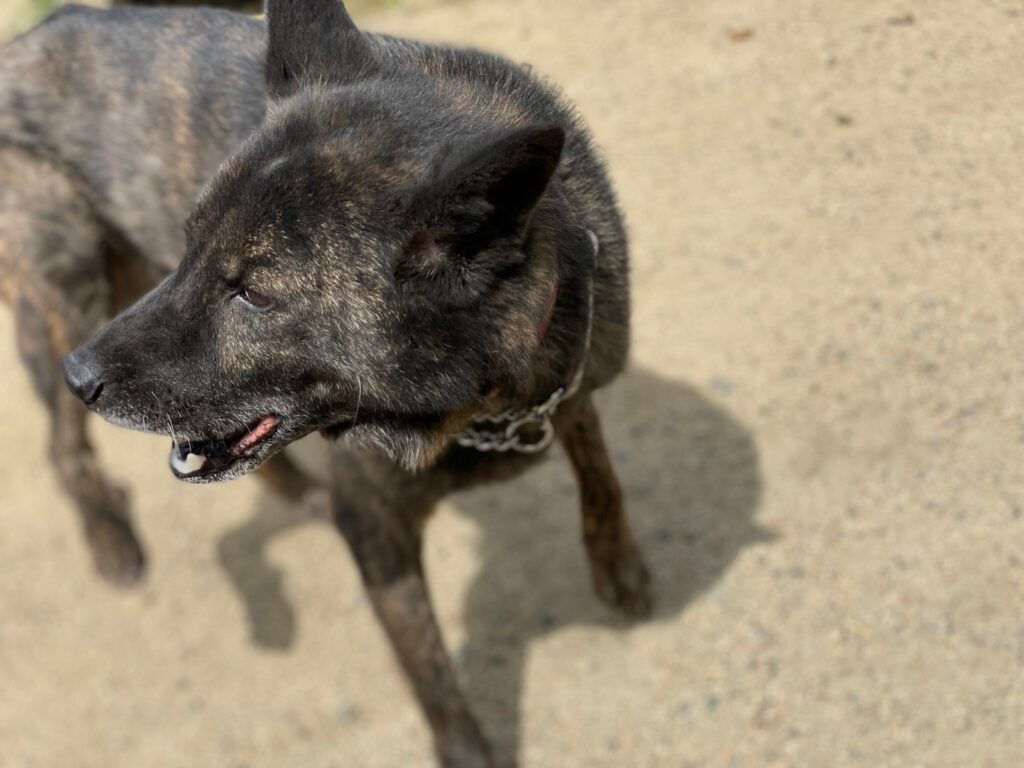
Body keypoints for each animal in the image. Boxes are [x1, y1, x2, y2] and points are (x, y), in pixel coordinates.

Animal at [43, 2, 649, 765]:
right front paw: (466, 747)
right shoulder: (377, 529)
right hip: (65, 299)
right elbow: (427, 662)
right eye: (191, 248)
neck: (481, 408)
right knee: (62, 447)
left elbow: (600, 470)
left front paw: (618, 564)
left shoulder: (571, 386)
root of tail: (34, 35)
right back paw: (113, 541)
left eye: (254, 295)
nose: (81, 377)